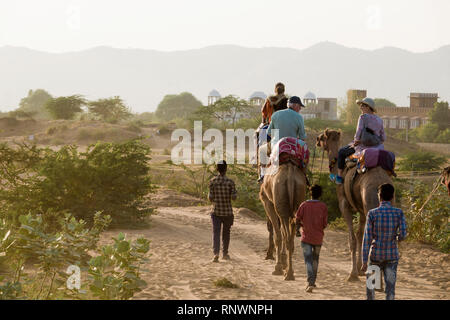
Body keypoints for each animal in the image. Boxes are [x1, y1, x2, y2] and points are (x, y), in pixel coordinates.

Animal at [316, 129, 394, 282]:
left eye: (323, 137)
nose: (317, 139)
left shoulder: (345, 206)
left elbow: (352, 239)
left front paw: (353, 274)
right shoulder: (362, 211)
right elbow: (360, 236)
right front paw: (360, 269)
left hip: (370, 202)